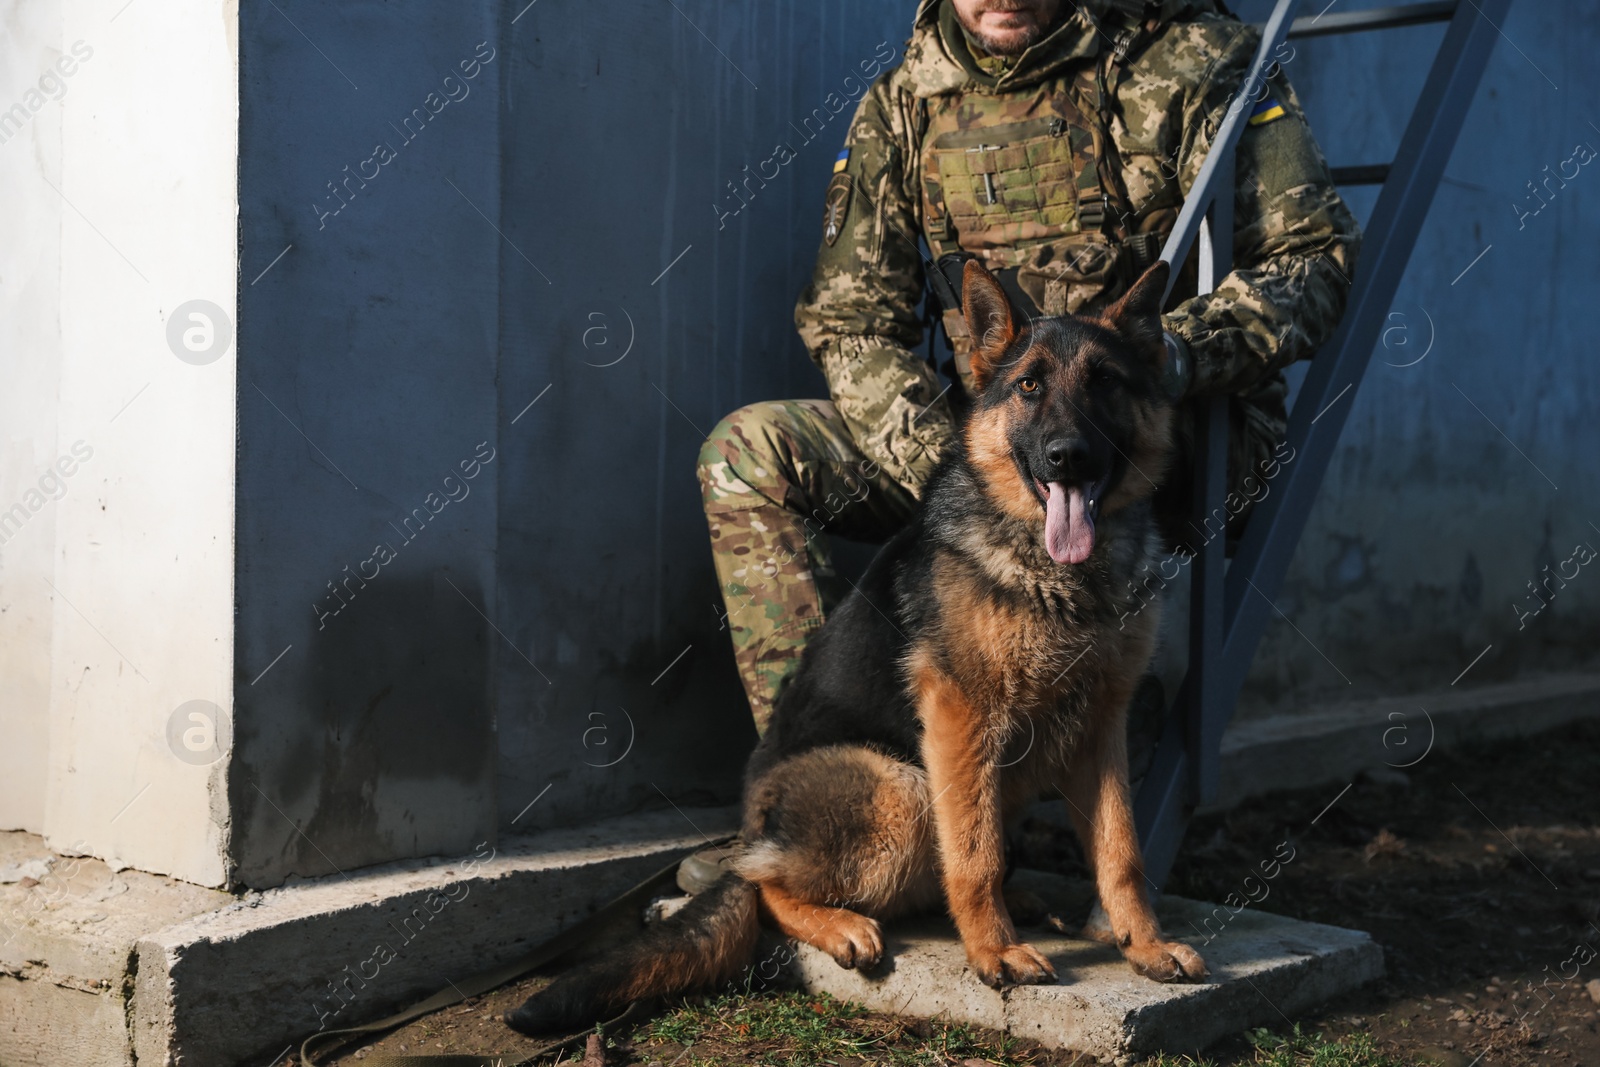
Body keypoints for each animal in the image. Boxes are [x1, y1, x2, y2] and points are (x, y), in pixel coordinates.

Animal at [505, 259, 1203, 1036]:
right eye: (1029, 386)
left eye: (1106, 382)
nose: (1068, 457)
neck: (1057, 573)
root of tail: (756, 822)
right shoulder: (964, 717)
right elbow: (975, 854)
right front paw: (993, 952)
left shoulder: (1103, 727)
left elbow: (1121, 852)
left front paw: (1144, 944)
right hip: (904, 788)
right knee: (766, 884)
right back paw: (845, 922)